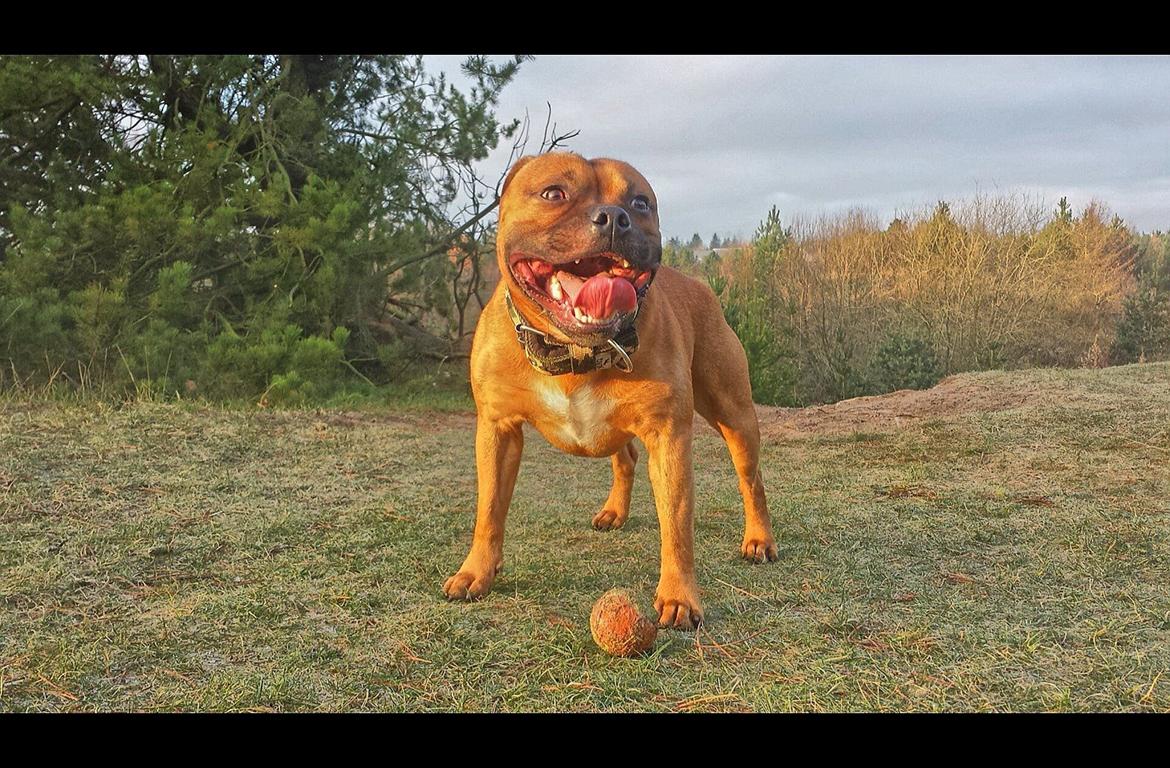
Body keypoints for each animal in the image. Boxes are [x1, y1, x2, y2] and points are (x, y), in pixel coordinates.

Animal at [439, 151, 776, 632]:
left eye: (640, 203)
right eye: (553, 193)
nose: (614, 218)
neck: (574, 350)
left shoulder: (669, 438)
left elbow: (677, 525)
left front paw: (680, 597)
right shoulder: (497, 431)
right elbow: (488, 510)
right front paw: (476, 573)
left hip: (735, 414)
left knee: (751, 478)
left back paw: (759, 538)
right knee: (625, 458)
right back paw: (615, 511)